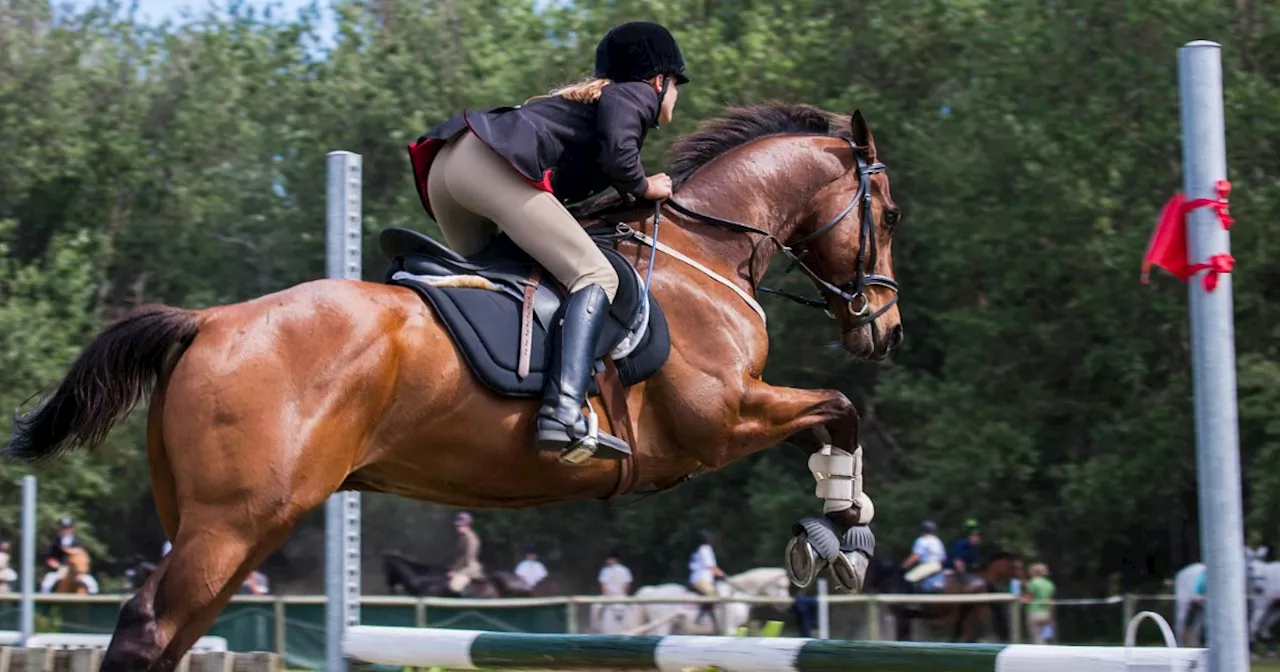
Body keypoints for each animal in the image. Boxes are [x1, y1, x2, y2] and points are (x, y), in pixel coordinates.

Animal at [629, 565, 788, 634]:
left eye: (786, 586)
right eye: (781, 586)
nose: (785, 605)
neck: (737, 593)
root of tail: (651, 591)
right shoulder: (730, 628)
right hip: (662, 625)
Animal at [865, 552, 1024, 642]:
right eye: (1017, 566)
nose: (1024, 582)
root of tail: (982, 581)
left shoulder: (902, 618)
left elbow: (901, 638)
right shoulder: (906, 618)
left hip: (968, 613)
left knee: (967, 636)